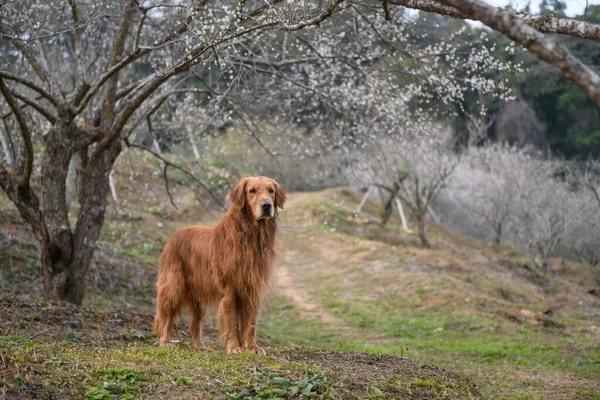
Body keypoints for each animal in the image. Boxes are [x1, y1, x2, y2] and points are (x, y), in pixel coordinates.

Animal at [154, 175, 288, 354]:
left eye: (271, 191)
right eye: (252, 191)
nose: (266, 205)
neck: (251, 235)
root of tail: (174, 235)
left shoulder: (253, 289)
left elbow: (250, 323)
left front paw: (252, 347)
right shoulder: (230, 289)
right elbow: (231, 322)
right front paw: (234, 347)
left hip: (198, 296)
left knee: (194, 324)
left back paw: (199, 346)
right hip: (174, 286)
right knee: (166, 316)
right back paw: (165, 342)